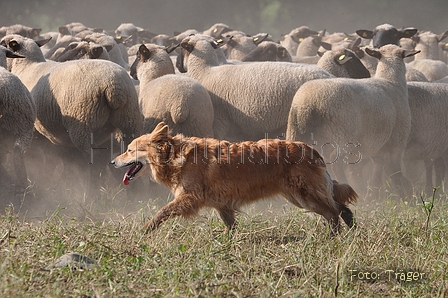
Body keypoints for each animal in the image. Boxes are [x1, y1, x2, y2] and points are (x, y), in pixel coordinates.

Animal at [1, 35, 142, 197]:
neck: (28, 65)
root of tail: (115, 87)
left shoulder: (33, 132)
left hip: (82, 124)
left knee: (94, 160)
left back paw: (91, 192)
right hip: (129, 121)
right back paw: (133, 192)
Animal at [112, 122, 356, 234]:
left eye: (130, 150)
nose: (113, 162)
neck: (176, 156)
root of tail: (312, 150)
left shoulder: (189, 198)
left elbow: (161, 212)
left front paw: (145, 230)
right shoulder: (222, 204)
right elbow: (230, 225)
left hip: (304, 194)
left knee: (333, 211)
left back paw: (336, 235)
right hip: (299, 197)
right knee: (337, 209)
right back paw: (346, 231)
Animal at [288, 44, 420, 198]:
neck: (391, 82)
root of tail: (309, 103)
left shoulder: (376, 148)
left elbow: (377, 172)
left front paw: (374, 194)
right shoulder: (396, 142)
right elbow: (394, 171)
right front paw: (405, 193)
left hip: (296, 132)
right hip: (342, 135)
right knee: (336, 162)